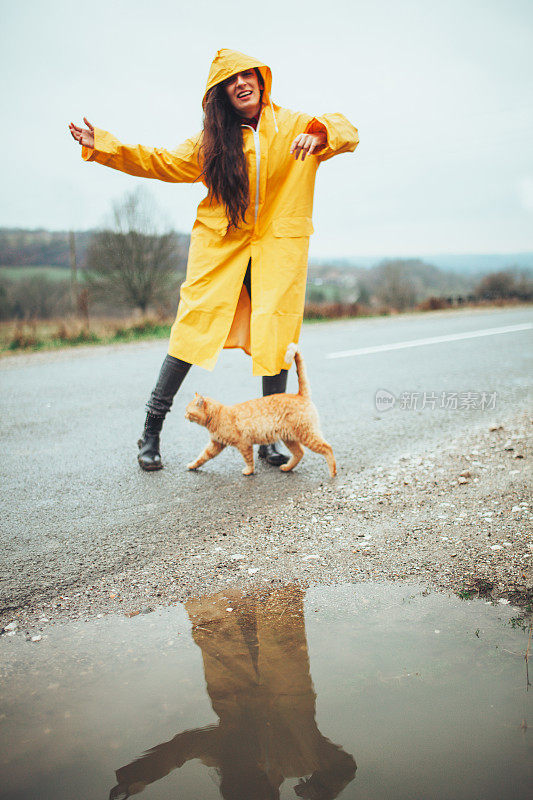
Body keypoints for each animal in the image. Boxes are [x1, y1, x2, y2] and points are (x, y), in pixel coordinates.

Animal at [185, 344, 334, 476]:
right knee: (300, 453)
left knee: (327, 448)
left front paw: (248, 471)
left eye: (188, 411)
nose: (184, 416)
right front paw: (192, 465)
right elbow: (202, 457)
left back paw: (333, 473)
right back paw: (286, 468)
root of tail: (299, 394)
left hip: (307, 434)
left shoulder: (244, 444)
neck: (219, 415)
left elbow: (248, 460)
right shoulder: (216, 444)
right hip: (289, 438)